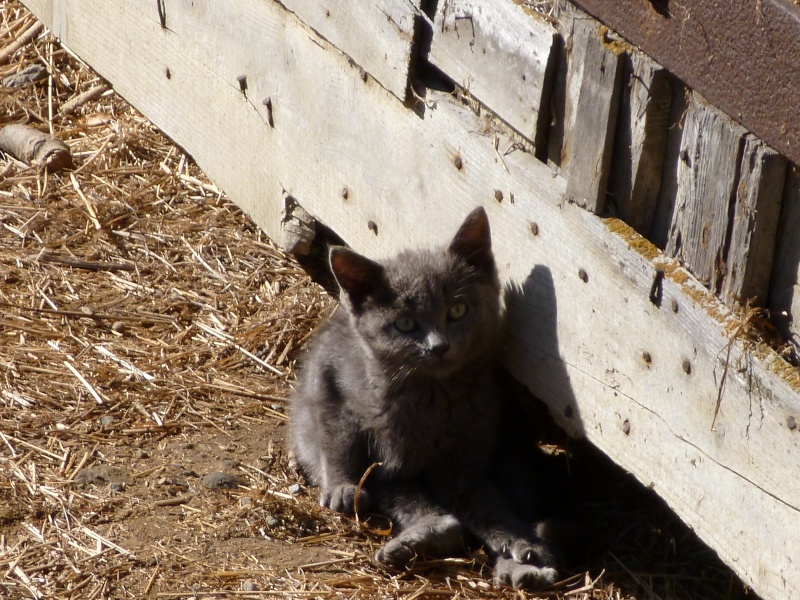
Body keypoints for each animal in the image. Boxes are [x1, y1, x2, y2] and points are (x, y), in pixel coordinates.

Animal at [290, 209, 560, 588]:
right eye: (405, 324)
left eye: (458, 310)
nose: (438, 346)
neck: (434, 394)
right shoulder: (329, 373)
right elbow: (336, 434)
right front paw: (340, 486)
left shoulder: (463, 459)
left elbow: (490, 507)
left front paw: (520, 543)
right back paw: (421, 539)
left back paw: (521, 568)